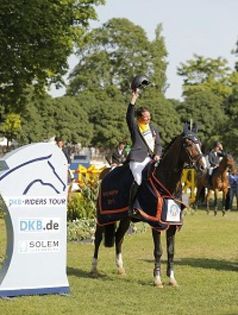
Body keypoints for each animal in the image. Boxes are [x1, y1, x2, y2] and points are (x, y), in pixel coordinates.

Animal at [90, 125, 206, 286]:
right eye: (188, 144)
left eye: (199, 143)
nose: (203, 166)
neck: (165, 183)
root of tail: (107, 172)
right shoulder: (156, 223)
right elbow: (158, 251)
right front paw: (157, 279)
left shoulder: (172, 223)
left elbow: (171, 251)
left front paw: (172, 279)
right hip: (103, 216)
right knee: (98, 238)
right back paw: (94, 269)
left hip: (125, 218)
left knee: (119, 237)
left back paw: (120, 269)